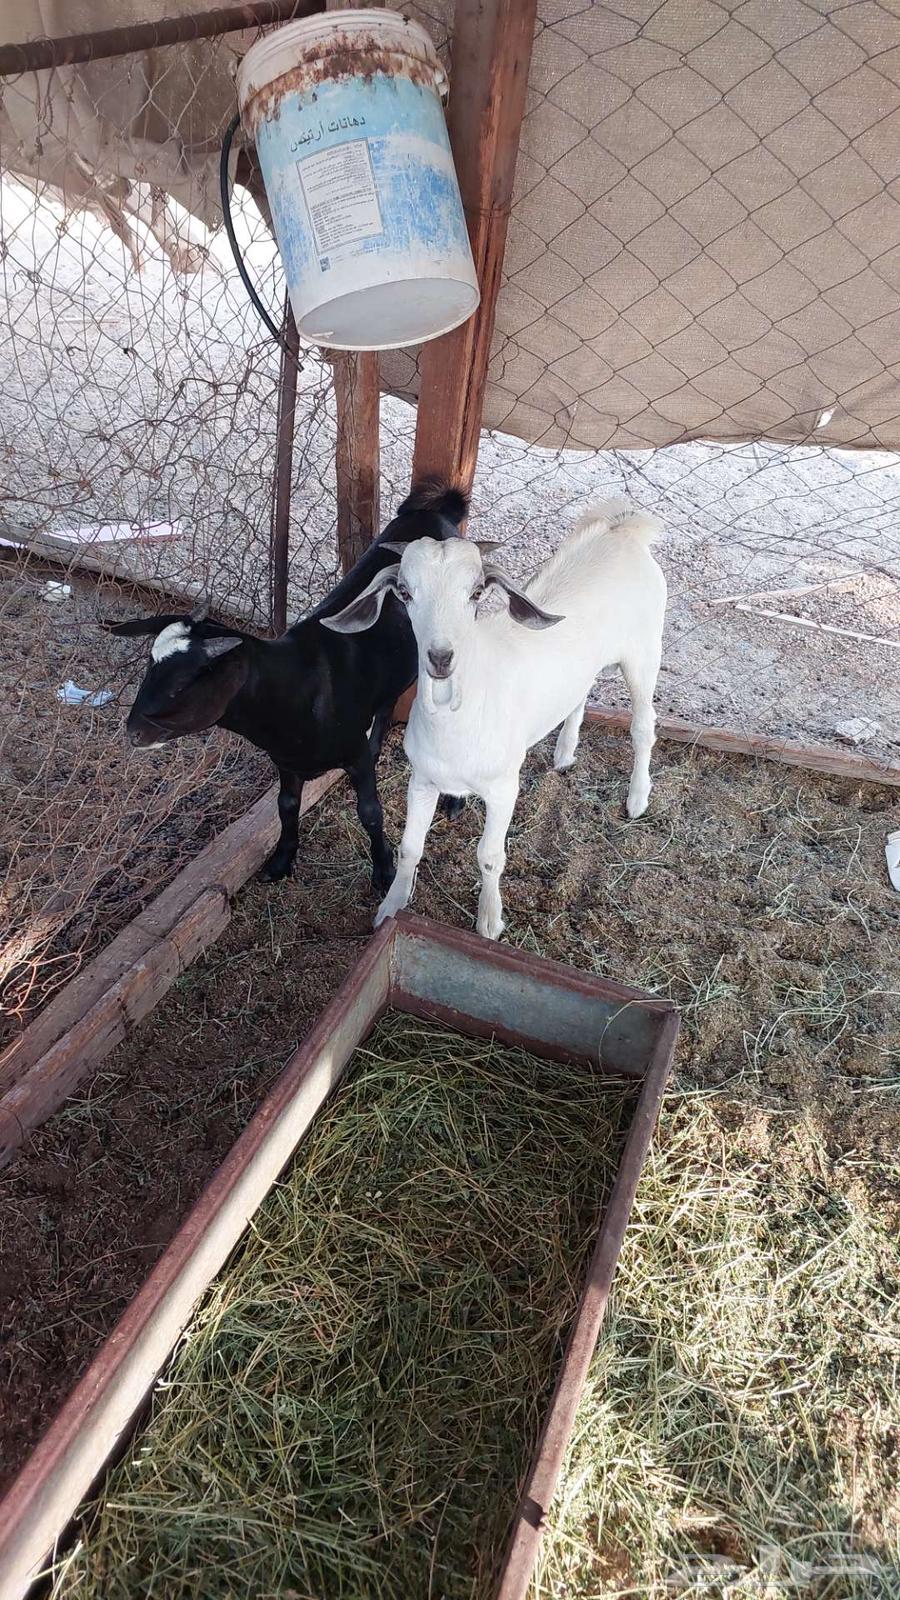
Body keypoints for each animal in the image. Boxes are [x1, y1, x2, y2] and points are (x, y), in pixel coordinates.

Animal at [107, 480, 469, 892]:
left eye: (184, 682)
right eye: (150, 667)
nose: (134, 732)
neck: (300, 686)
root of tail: (439, 510)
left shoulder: (353, 756)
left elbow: (370, 812)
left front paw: (385, 870)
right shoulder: (286, 762)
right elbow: (286, 807)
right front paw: (281, 859)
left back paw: (455, 799)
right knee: (387, 701)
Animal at [322, 497, 666, 938]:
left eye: (475, 593)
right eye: (405, 592)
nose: (440, 657)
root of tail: (624, 529)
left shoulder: (504, 787)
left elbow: (489, 855)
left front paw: (489, 920)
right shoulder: (423, 779)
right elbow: (410, 846)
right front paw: (390, 907)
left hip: (644, 651)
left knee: (643, 725)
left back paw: (637, 798)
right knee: (580, 694)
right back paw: (564, 754)